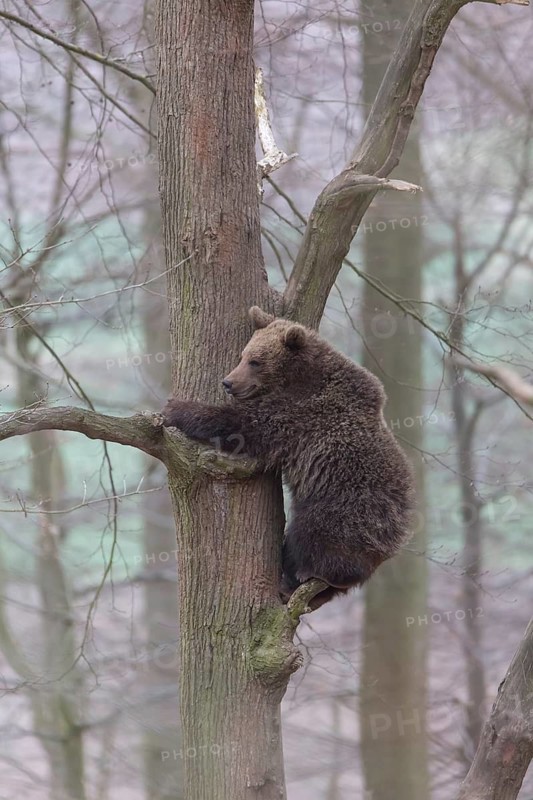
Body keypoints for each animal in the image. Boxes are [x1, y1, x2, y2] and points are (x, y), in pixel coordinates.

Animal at [162, 306, 414, 609]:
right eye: (243, 355)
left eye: (255, 361)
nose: (228, 382)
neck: (299, 378)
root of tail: (391, 545)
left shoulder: (301, 414)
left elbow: (243, 426)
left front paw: (177, 409)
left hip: (342, 508)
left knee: (309, 537)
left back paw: (302, 576)